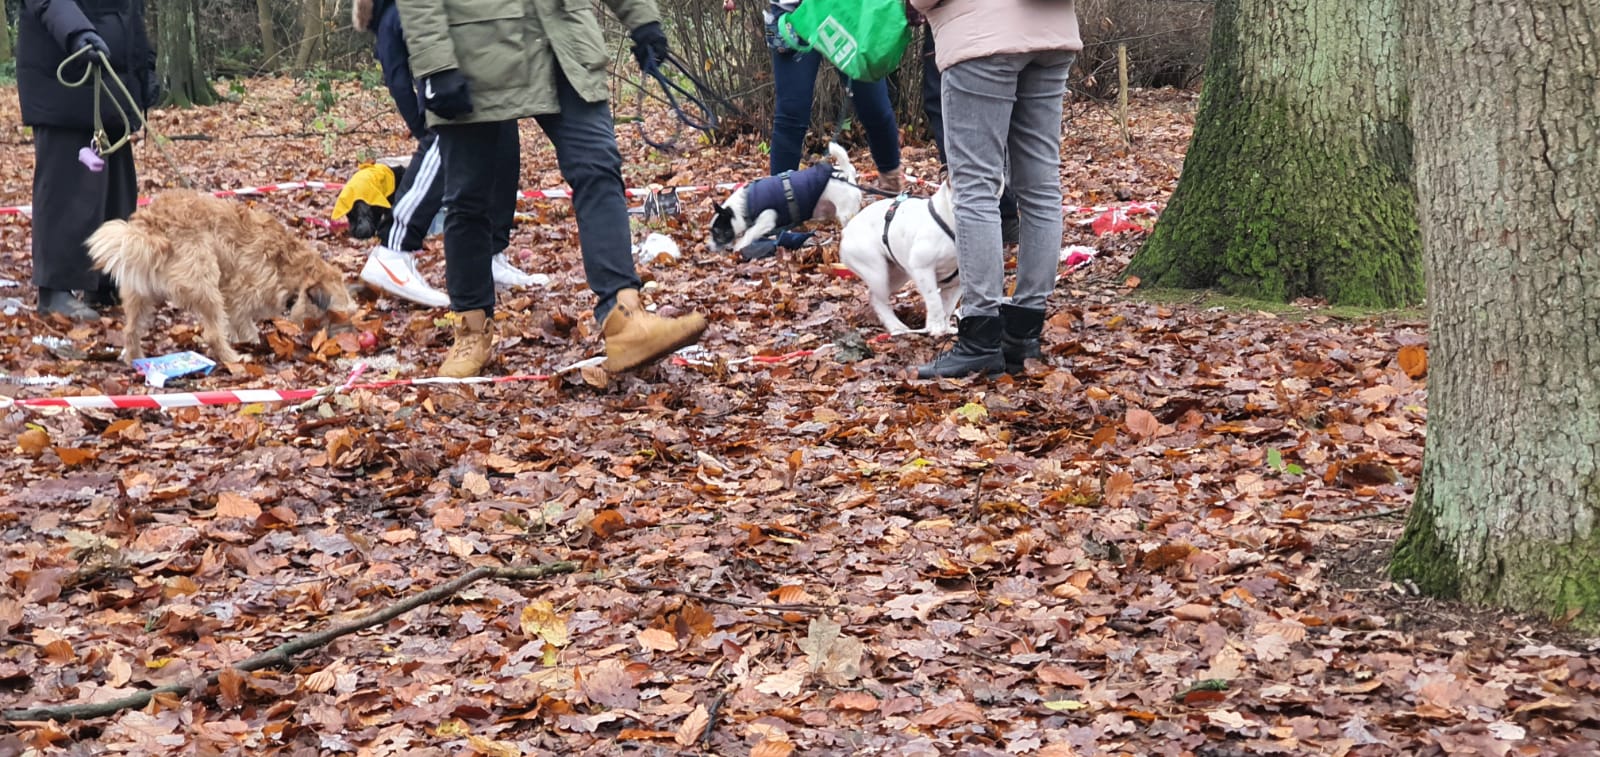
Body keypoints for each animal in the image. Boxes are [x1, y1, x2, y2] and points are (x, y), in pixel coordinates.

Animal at [87, 190, 356, 364]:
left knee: (131, 330)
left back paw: (136, 359)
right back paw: (234, 358)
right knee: (213, 334)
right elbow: (245, 325)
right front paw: (252, 343)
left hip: (139, 295)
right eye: (335, 316)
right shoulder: (241, 295)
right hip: (206, 284)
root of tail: (154, 227)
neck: (293, 268)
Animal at [710, 143, 864, 254]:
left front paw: (739, 246)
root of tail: (847, 176)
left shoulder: (766, 219)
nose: (707, 247)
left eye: (717, 232)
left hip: (845, 214)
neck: (746, 203)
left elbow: (749, 233)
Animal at [838, 181, 960, 334]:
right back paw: (896, 326)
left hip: (898, 275)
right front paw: (936, 327)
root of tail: (846, 230)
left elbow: (948, 307)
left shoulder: (956, 284)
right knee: (878, 298)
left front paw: (946, 328)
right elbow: (934, 300)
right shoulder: (923, 269)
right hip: (876, 272)